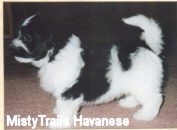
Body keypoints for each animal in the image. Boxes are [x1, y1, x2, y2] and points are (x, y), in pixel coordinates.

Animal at [9, 5, 165, 128]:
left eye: (27, 38)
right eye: (17, 34)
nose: (10, 47)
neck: (55, 53)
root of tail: (147, 47)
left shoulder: (69, 91)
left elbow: (65, 108)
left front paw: (60, 123)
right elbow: (61, 105)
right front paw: (58, 112)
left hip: (145, 83)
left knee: (154, 99)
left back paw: (145, 115)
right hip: (135, 81)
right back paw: (129, 103)